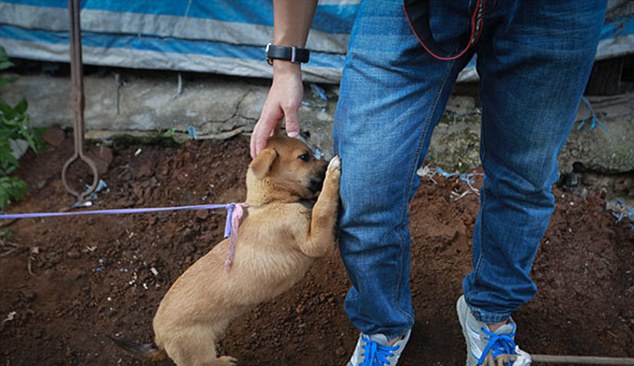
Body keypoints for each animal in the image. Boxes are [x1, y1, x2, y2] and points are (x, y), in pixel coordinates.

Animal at [112, 137, 340, 366]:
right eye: (304, 156)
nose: (326, 160)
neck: (271, 202)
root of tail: (159, 338)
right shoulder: (314, 242)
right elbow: (322, 209)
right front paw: (333, 175)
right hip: (198, 350)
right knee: (205, 363)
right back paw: (224, 361)